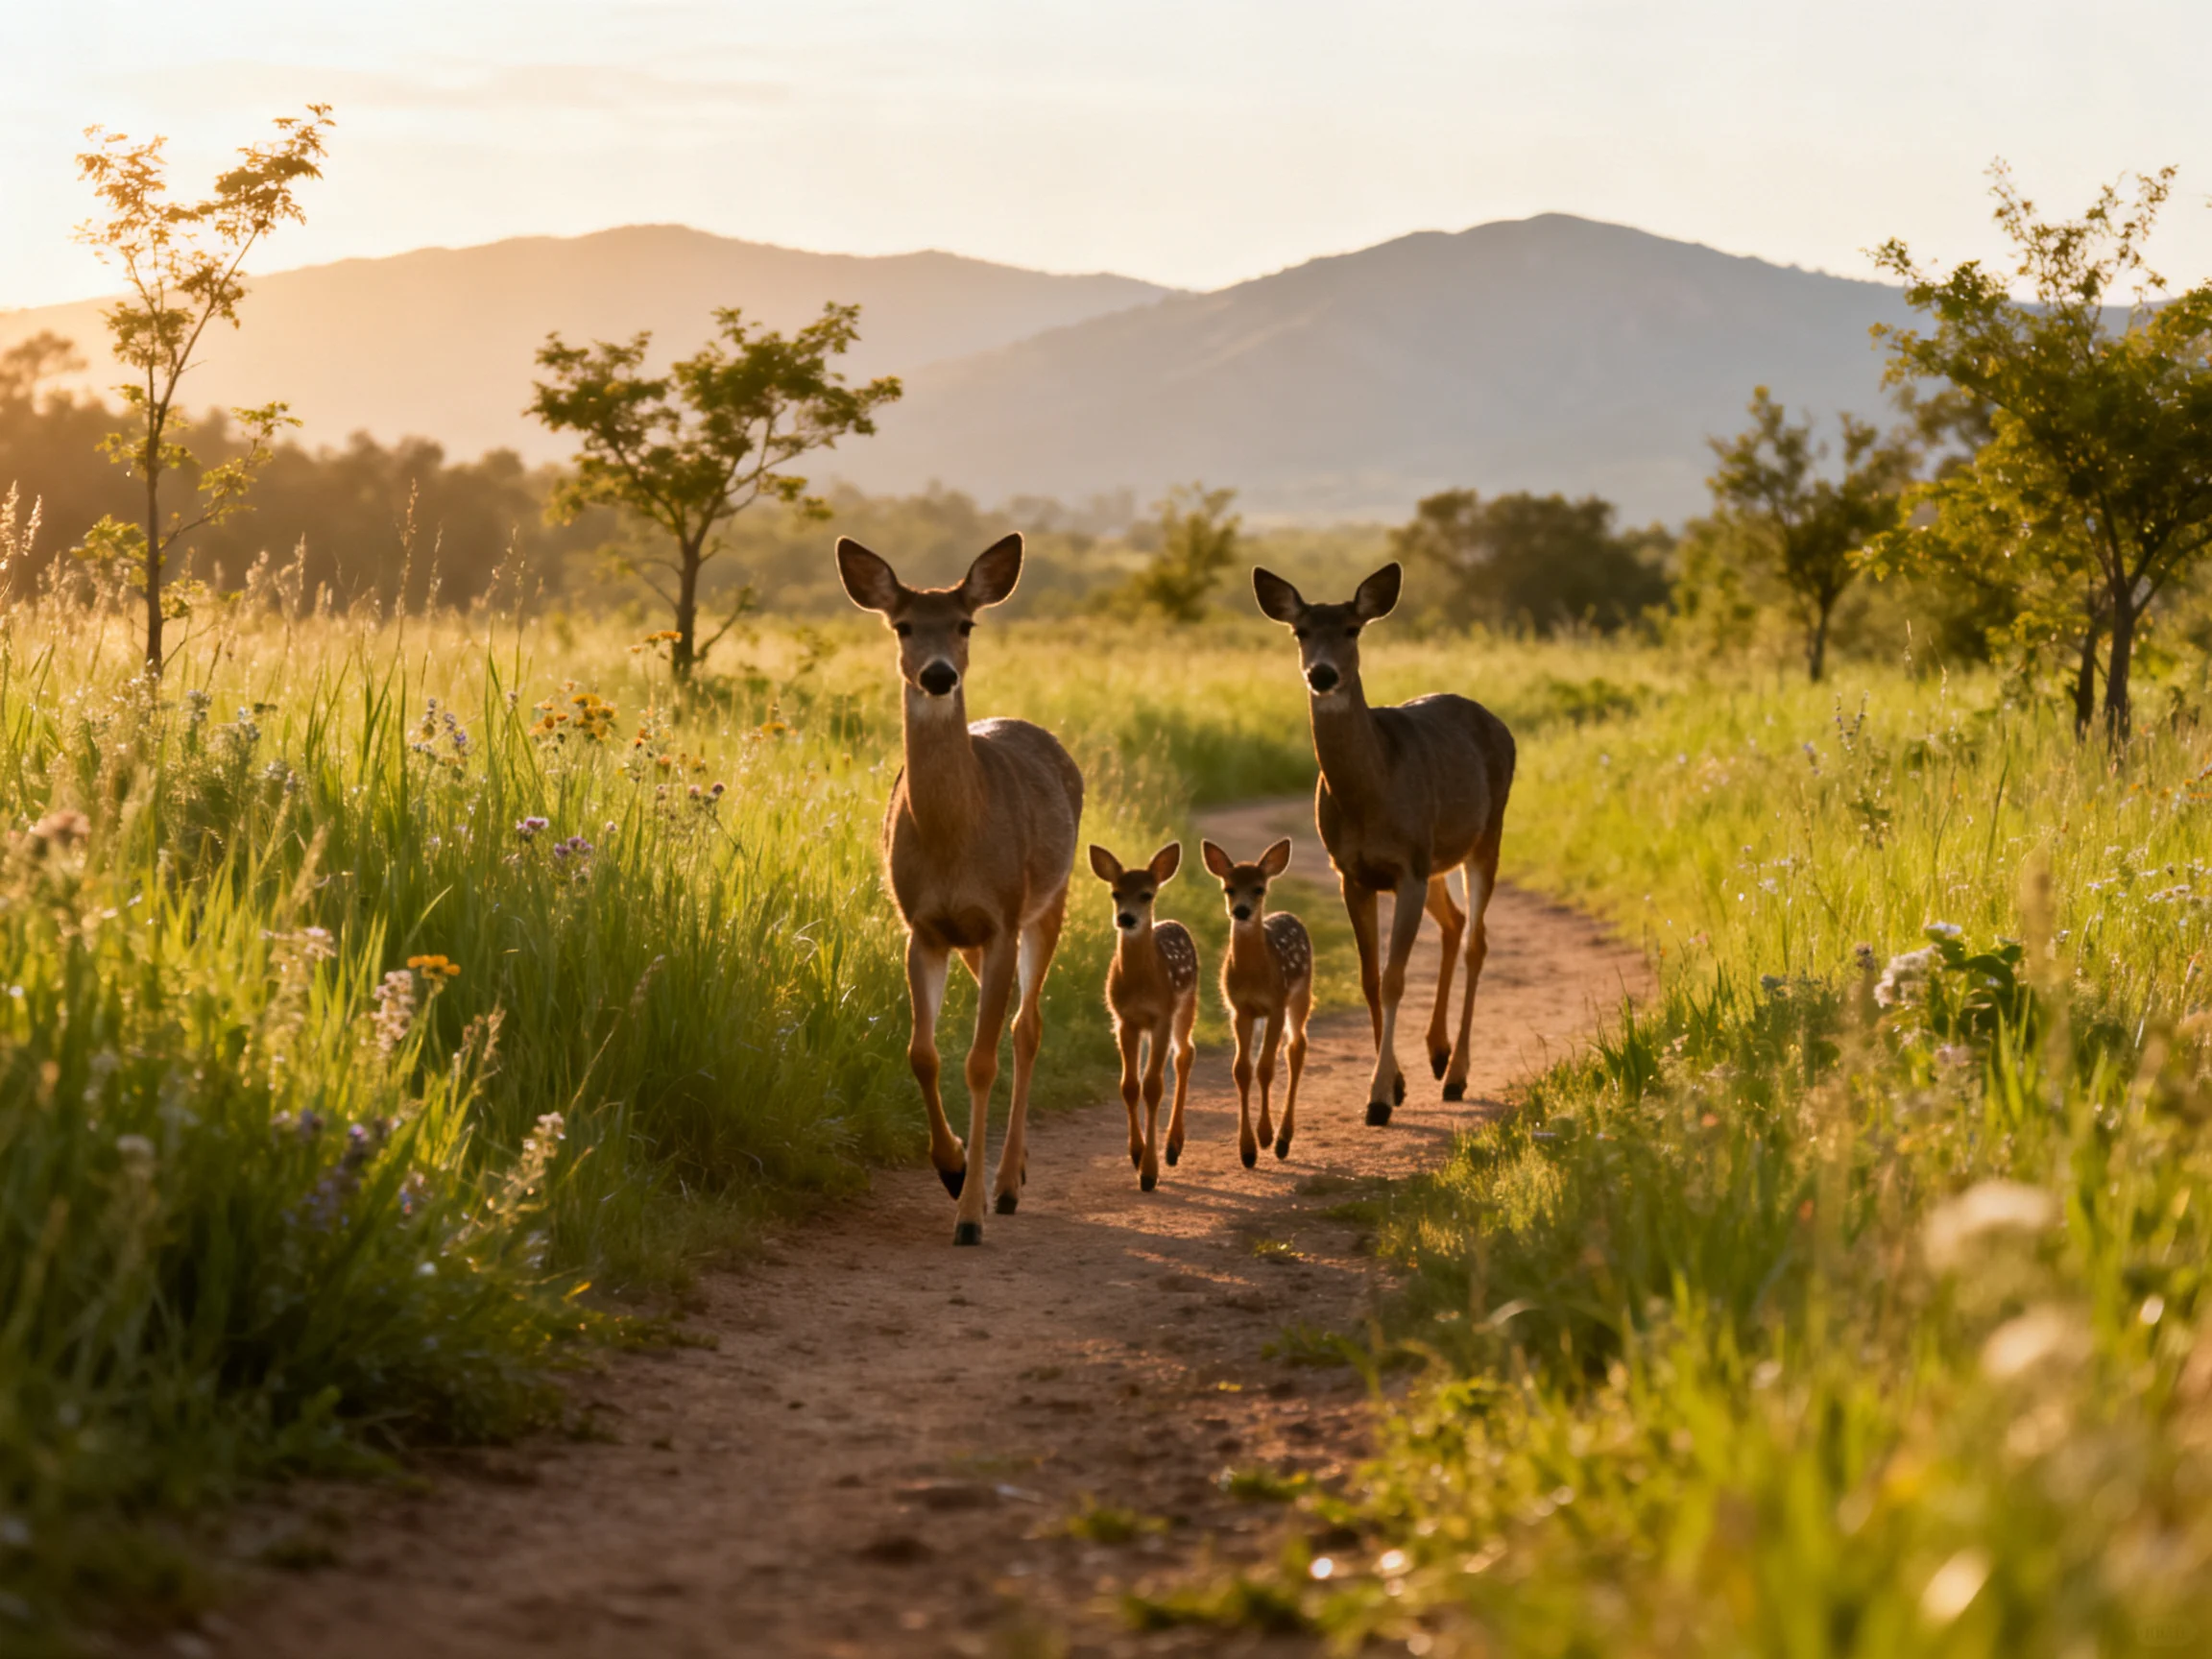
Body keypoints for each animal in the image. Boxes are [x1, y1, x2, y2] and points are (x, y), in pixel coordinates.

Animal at [837, 533, 1085, 1247]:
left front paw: (970, 1212)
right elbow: (922, 1053)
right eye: (902, 625)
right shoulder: (922, 927)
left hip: (1047, 902)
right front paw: (949, 1168)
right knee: (1013, 1023)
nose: (939, 674)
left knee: (1026, 1027)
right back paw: (1008, 1171)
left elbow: (979, 1061)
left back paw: (1006, 1184)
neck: (954, 842)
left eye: (965, 623)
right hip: (978, 938)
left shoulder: (1000, 917)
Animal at [1087, 843, 1199, 1191]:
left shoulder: (1161, 1015)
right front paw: (1136, 1156)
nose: (1126, 918)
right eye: (1115, 893)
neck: (1140, 984)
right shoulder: (1125, 1020)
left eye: (1146, 895)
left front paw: (1149, 1172)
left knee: (1185, 1053)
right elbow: (1129, 1085)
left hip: (1187, 1003)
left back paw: (1174, 1146)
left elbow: (1152, 1086)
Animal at [1200, 838, 1313, 1166]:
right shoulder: (1240, 1010)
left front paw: (1265, 1136)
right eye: (1228, 888)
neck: (1254, 976)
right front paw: (1247, 1150)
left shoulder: (1275, 1005)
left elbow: (1265, 1068)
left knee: (1296, 1048)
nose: (1241, 911)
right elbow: (1241, 1070)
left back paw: (1283, 1139)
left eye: (1259, 888)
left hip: (1300, 995)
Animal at [1250, 562, 1514, 1125]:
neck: (1371, 795)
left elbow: (1395, 978)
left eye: (1353, 629)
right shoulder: (1353, 872)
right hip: (1436, 857)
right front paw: (1393, 1084)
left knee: (1477, 939)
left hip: (1486, 836)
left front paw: (1377, 1097)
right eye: (1300, 631)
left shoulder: (1407, 869)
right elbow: (1370, 978)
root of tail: (1495, 721)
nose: (1322, 674)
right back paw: (1436, 1054)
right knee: (1456, 922)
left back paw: (1457, 1073)